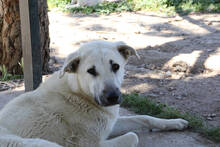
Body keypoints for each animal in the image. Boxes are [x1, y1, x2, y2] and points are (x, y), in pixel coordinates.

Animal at [0, 40, 187, 147]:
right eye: (91, 71)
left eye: (115, 66)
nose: (113, 97)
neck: (79, 94)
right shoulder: (92, 144)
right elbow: (133, 136)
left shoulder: (108, 125)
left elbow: (144, 117)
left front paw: (174, 122)